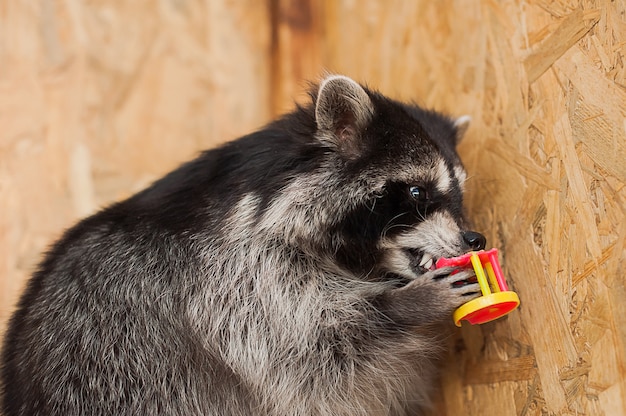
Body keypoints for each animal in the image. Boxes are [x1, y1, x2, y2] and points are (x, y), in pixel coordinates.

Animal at [0, 75, 486, 416]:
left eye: (460, 197)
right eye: (418, 193)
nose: (474, 238)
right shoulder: (230, 271)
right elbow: (303, 346)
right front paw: (402, 306)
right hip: (109, 377)